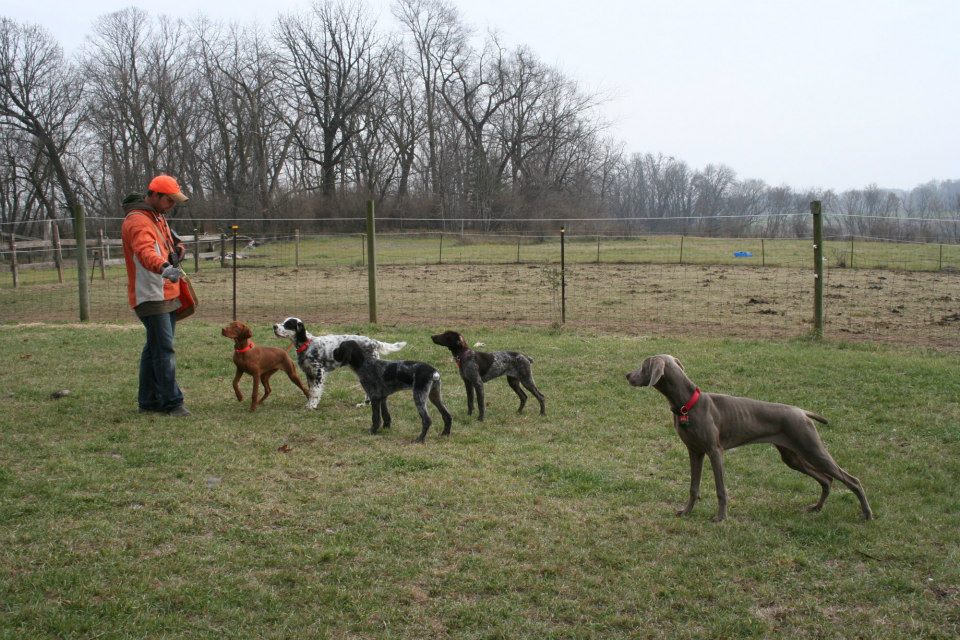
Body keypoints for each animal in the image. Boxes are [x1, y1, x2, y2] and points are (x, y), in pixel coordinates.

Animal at [273, 317, 406, 409]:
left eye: (288, 324)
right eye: (283, 321)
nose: (274, 326)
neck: (307, 344)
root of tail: (372, 342)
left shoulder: (319, 372)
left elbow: (315, 392)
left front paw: (312, 406)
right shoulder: (309, 374)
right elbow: (310, 392)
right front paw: (309, 404)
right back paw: (364, 404)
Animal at [626, 354, 872, 522]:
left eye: (643, 365)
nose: (627, 375)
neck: (687, 404)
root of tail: (802, 412)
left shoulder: (715, 451)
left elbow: (721, 489)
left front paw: (720, 518)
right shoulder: (694, 452)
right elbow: (693, 488)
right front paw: (686, 512)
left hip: (812, 448)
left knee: (852, 480)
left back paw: (867, 514)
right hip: (793, 457)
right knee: (826, 480)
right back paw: (816, 508)